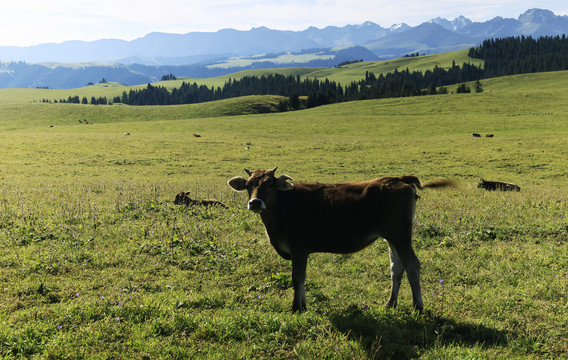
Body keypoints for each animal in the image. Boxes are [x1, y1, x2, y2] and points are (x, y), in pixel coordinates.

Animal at [229, 168, 454, 312]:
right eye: (248, 185)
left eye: (270, 184)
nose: (255, 202)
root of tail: (399, 179)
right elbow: (302, 279)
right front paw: (304, 305)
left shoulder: (299, 249)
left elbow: (297, 278)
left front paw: (296, 308)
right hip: (392, 238)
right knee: (396, 268)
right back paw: (390, 303)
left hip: (401, 237)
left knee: (412, 265)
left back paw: (418, 307)